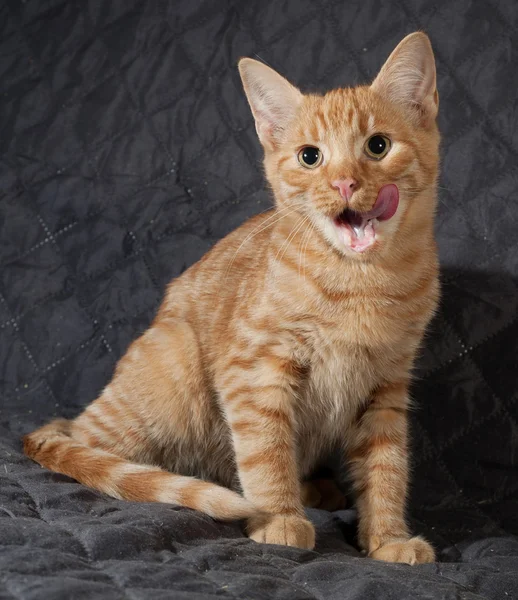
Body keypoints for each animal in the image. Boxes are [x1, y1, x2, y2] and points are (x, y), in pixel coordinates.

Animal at [23, 32, 438, 564]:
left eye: (378, 146)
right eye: (310, 157)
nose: (344, 183)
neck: (361, 281)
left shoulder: (386, 387)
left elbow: (386, 468)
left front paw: (387, 538)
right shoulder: (256, 372)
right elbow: (266, 451)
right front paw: (277, 518)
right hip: (173, 362)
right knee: (87, 445)